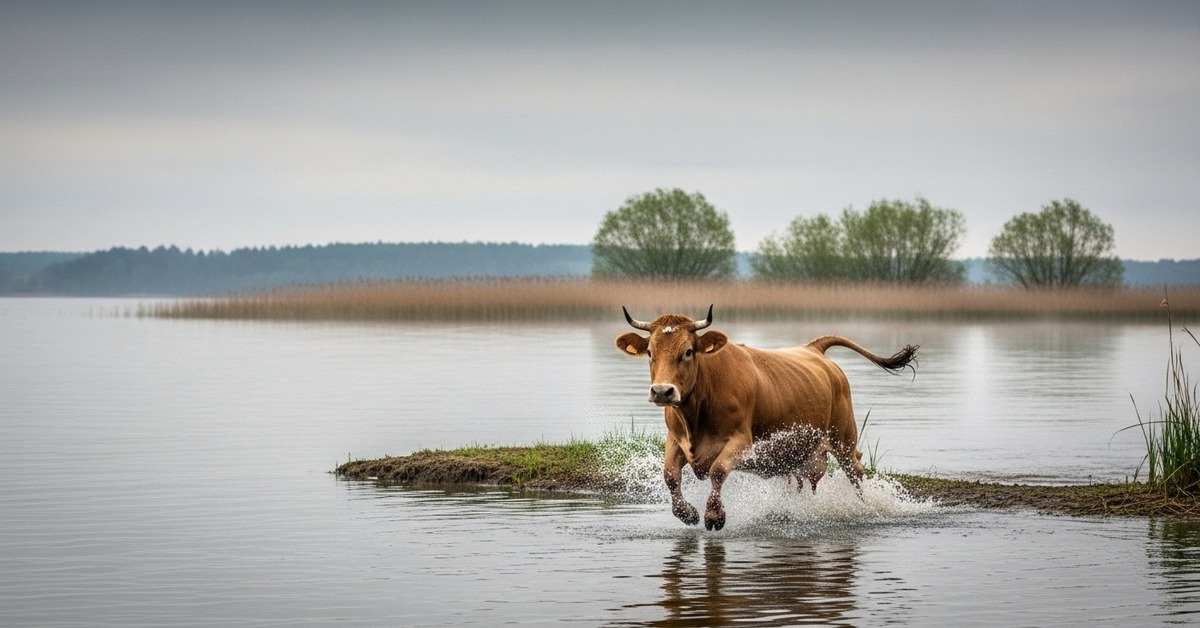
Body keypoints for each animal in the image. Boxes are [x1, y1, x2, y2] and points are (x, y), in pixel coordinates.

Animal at [615, 305, 918, 530]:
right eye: (650, 352)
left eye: (688, 351)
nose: (662, 391)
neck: (697, 413)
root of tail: (814, 349)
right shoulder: (675, 439)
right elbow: (669, 475)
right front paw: (687, 512)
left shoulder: (740, 440)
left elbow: (718, 471)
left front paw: (714, 515)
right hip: (795, 455)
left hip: (843, 439)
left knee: (855, 472)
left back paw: (864, 508)